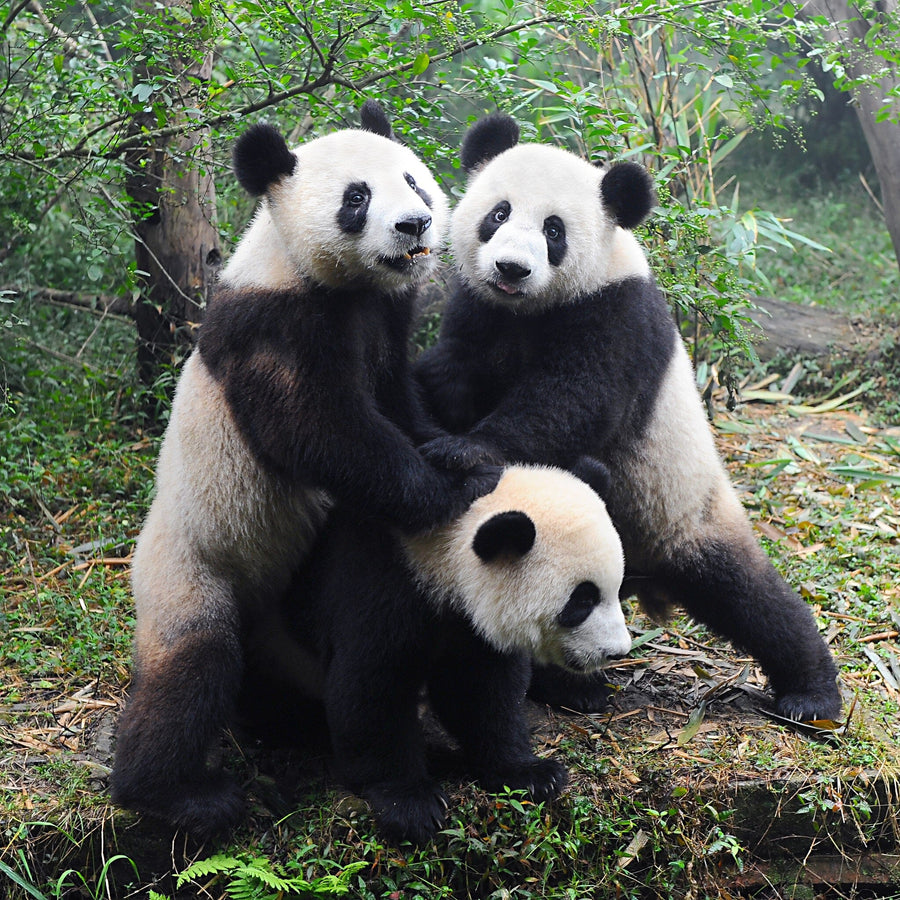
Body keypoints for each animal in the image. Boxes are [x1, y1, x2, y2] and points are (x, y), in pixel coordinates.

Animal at [110, 101, 498, 842]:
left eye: (413, 179)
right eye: (357, 199)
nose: (416, 224)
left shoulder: (384, 316)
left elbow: (397, 403)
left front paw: (462, 452)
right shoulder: (276, 328)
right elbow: (325, 436)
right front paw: (448, 490)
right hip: (191, 568)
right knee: (193, 668)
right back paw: (176, 795)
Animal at [264, 459, 629, 845]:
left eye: (616, 587)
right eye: (582, 601)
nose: (617, 652)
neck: (439, 548)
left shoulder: (469, 625)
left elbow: (480, 691)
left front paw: (530, 774)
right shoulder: (379, 590)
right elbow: (370, 690)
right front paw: (410, 804)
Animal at [415, 113, 841, 723]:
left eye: (553, 231)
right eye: (498, 214)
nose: (511, 268)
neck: (534, 307)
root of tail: (645, 577)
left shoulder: (616, 315)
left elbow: (572, 403)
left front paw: (467, 450)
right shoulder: (480, 309)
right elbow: (452, 372)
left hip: (680, 510)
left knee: (748, 594)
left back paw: (811, 691)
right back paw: (571, 687)